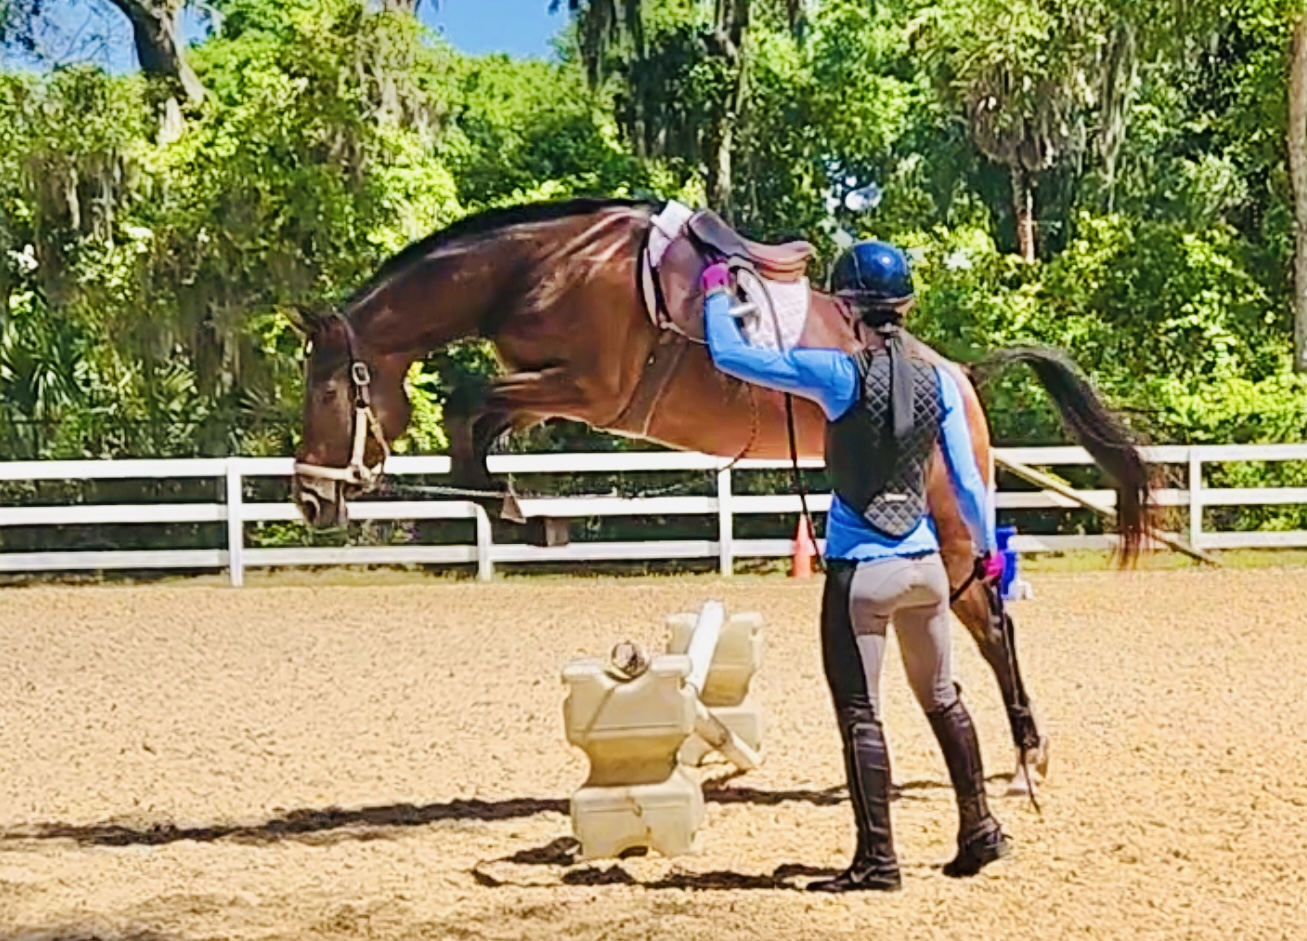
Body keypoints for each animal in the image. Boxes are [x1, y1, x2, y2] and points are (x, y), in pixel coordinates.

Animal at [288, 196, 1155, 794]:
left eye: (325, 389)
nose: (307, 498)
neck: (543, 267)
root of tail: (959, 373)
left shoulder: (588, 388)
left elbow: (466, 404)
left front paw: (516, 513)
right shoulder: (552, 390)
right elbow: (478, 413)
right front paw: (512, 507)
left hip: (947, 516)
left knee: (990, 621)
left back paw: (1027, 754)